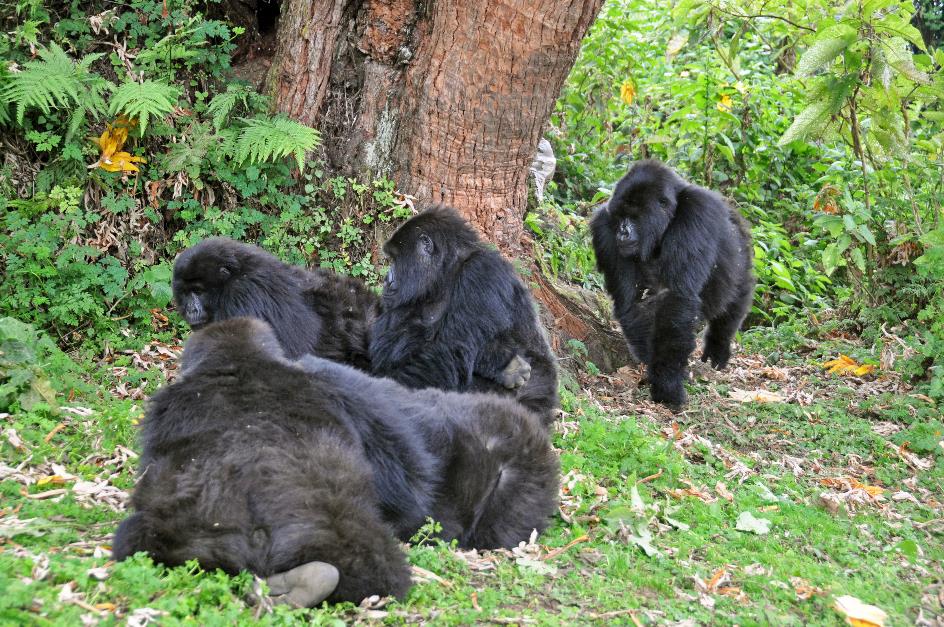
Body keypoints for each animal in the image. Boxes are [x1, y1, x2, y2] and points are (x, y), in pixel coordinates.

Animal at [592, 159, 756, 410]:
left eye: (634, 217)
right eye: (620, 216)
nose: (622, 232)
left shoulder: (697, 211)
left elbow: (676, 296)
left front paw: (666, 382)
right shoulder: (603, 225)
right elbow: (635, 301)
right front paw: (653, 365)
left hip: (742, 244)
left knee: (735, 299)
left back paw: (718, 346)